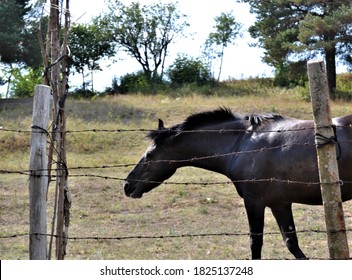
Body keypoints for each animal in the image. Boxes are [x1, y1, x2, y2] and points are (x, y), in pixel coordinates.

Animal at [124, 106, 352, 258]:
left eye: (150, 155)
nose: (128, 185)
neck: (242, 143)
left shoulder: (254, 202)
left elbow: (255, 243)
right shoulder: (280, 204)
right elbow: (292, 243)